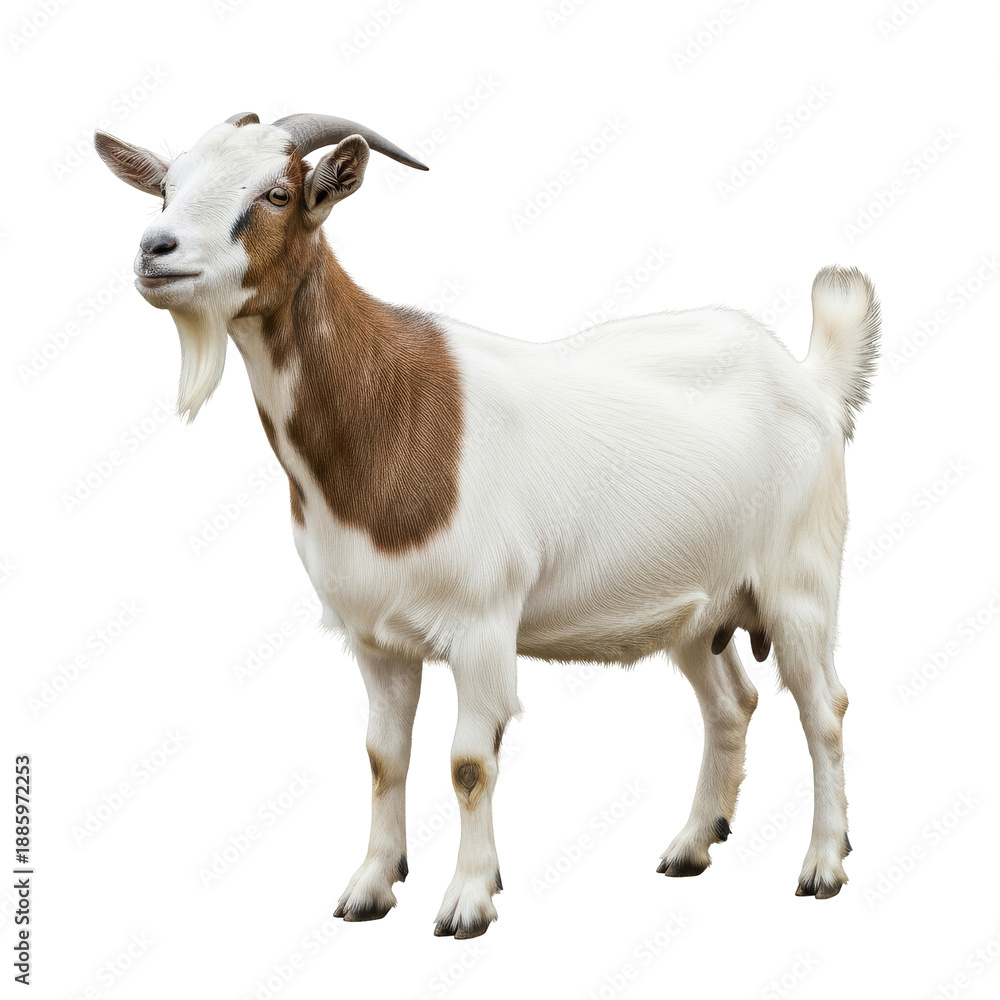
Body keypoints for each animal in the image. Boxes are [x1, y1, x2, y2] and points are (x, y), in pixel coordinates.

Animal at [95, 111, 879, 939]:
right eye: (167, 186)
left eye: (276, 192)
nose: (156, 251)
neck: (388, 412)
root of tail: (811, 379)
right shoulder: (374, 639)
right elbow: (383, 758)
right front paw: (370, 887)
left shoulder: (481, 626)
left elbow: (470, 765)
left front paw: (469, 899)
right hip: (702, 606)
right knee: (732, 703)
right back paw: (692, 845)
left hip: (800, 581)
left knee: (824, 708)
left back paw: (824, 865)